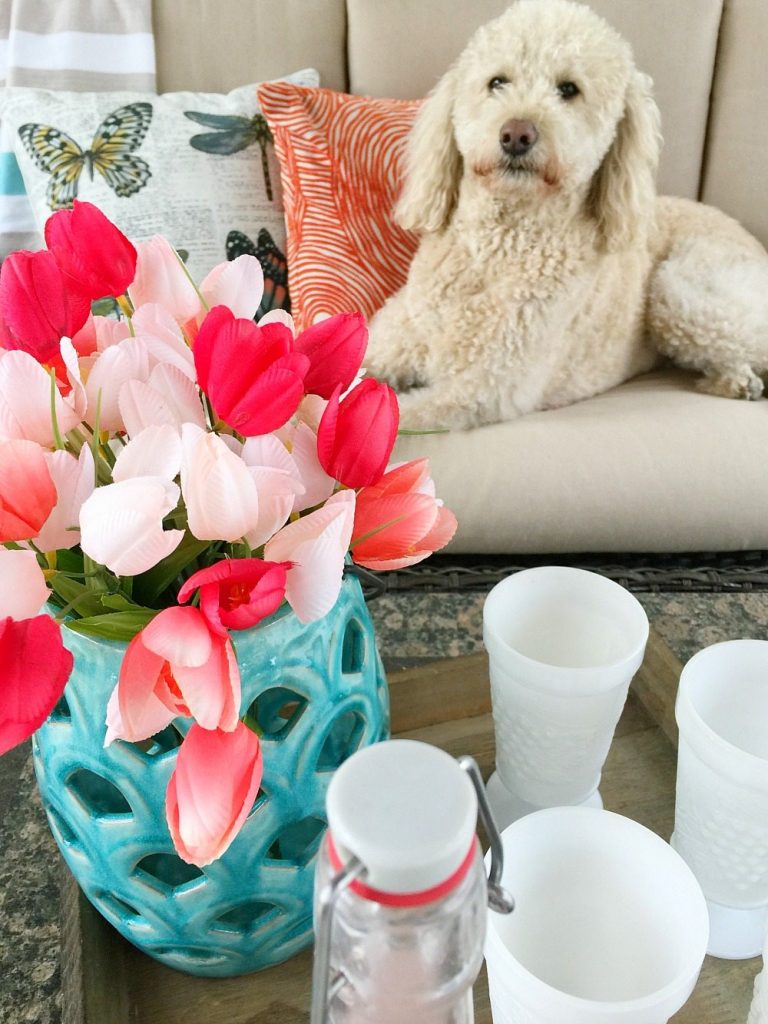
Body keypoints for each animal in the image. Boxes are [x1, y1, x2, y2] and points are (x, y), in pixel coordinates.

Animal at [366, 0, 768, 428]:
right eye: (497, 82)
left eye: (569, 89)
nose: (516, 134)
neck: (495, 249)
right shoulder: (392, 342)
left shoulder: (478, 389)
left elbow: (397, 417)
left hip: (679, 291)